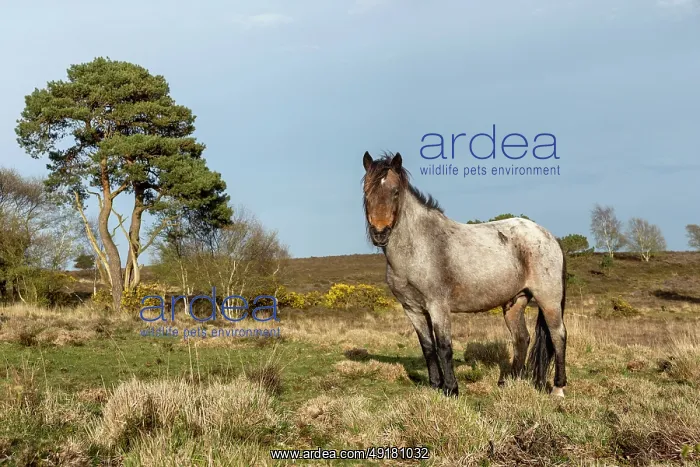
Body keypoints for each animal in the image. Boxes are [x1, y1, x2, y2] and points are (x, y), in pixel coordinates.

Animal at [361, 151, 567, 397]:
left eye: (395, 192)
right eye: (366, 192)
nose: (380, 233)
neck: (419, 245)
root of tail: (548, 236)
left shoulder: (438, 306)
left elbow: (444, 347)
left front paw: (451, 389)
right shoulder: (412, 309)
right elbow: (428, 347)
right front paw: (435, 386)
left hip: (548, 300)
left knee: (558, 336)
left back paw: (558, 388)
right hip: (515, 302)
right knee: (522, 339)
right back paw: (508, 383)